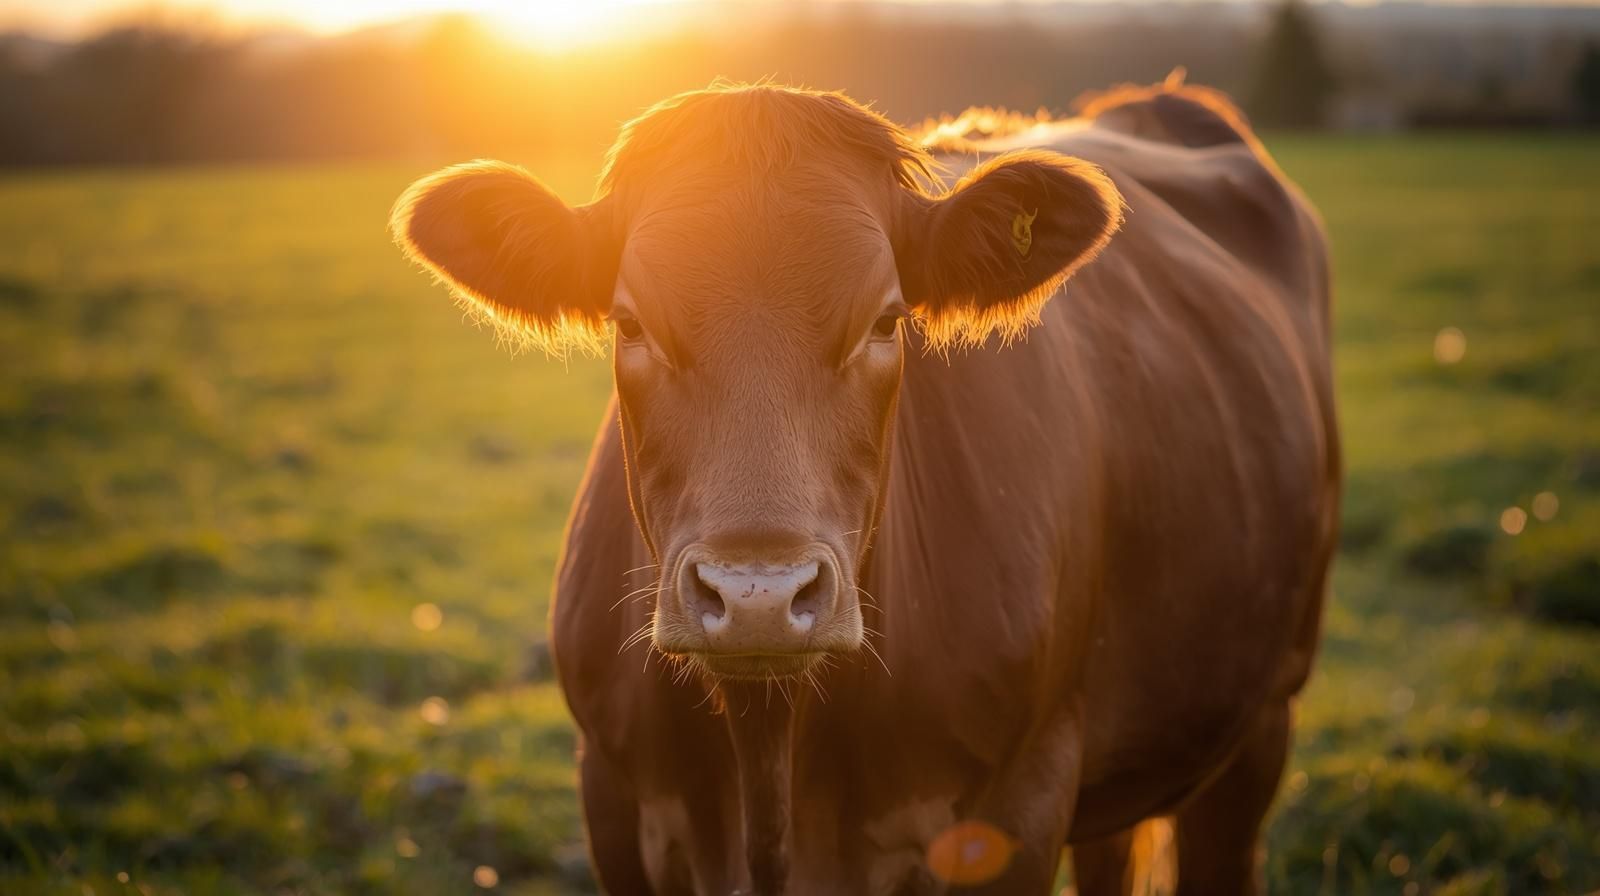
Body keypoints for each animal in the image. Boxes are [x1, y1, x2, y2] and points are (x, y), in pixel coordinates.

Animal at [390, 80, 1339, 895]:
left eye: (887, 319)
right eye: (630, 323)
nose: (759, 597)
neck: (770, 766)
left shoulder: (1017, 813)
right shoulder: (614, 806)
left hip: (1263, 719)